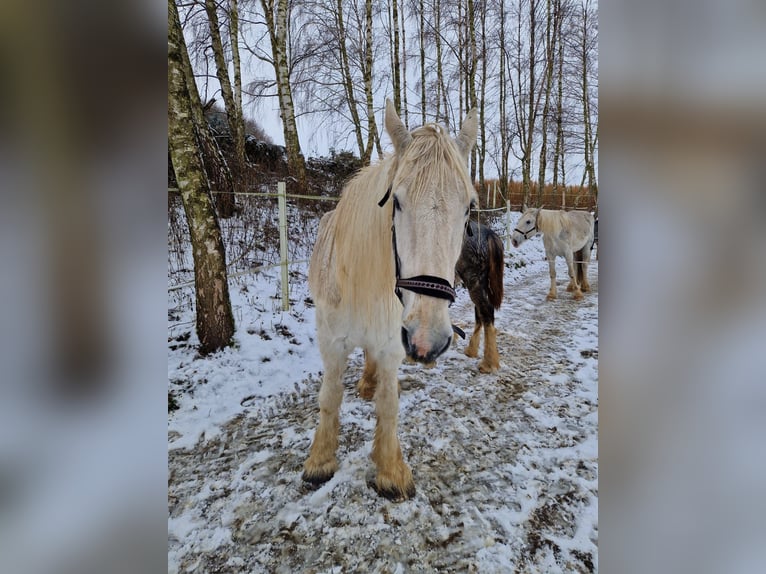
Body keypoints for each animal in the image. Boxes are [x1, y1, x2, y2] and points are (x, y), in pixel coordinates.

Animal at [303, 99, 478, 501]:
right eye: (396, 200)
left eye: (468, 208)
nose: (430, 340)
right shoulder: (331, 342)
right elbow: (329, 396)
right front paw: (320, 460)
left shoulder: (393, 342)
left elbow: (389, 404)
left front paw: (390, 469)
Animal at [455, 220, 504, 373]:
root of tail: (488, 234)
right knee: (480, 313)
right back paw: (472, 350)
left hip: (473, 281)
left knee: (486, 311)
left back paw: (489, 363)